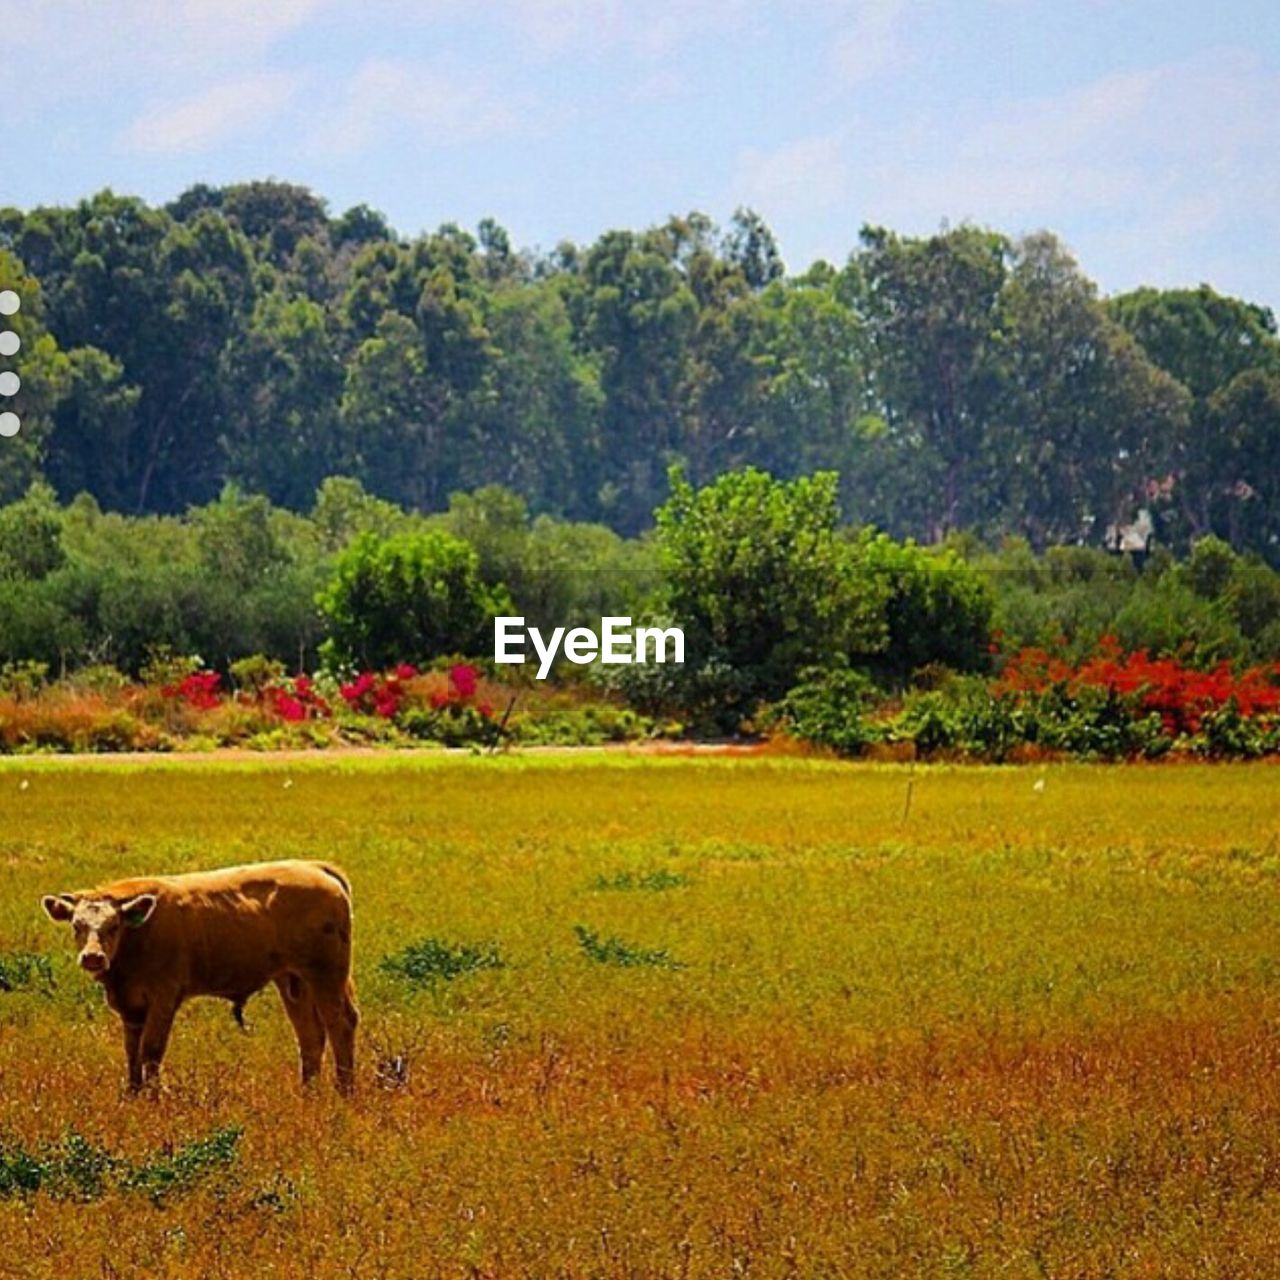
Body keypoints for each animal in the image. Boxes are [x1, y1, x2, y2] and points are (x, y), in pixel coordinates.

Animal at [40, 860, 358, 1090]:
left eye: (113, 926)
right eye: (77, 925)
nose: (93, 957)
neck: (140, 931)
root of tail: (316, 867)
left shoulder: (164, 998)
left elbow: (151, 1050)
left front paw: (153, 1097)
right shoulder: (130, 1006)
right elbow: (132, 1052)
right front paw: (133, 1093)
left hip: (325, 976)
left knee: (340, 1024)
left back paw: (344, 1091)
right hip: (294, 981)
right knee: (310, 1036)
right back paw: (308, 1092)